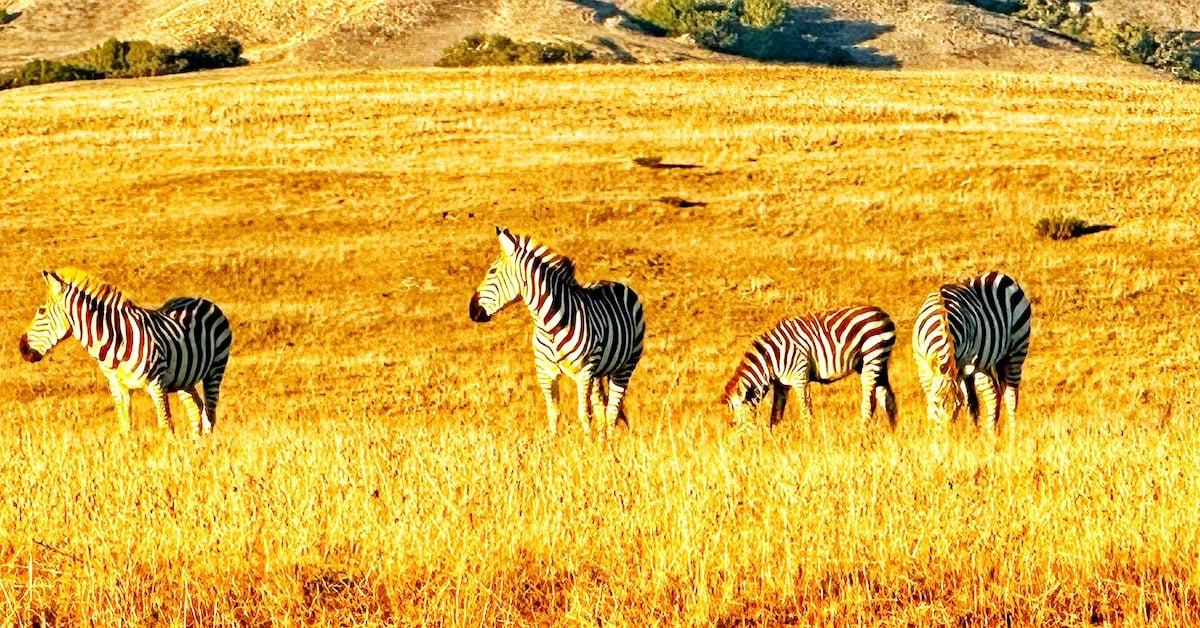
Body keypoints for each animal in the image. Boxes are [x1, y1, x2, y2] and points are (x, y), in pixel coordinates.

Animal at [19, 268, 233, 435]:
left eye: (41, 311)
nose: (22, 349)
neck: (116, 340)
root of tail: (202, 300)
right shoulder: (117, 385)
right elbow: (125, 426)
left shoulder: (157, 384)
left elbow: (165, 426)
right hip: (184, 379)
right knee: (196, 409)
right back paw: (196, 447)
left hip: (215, 369)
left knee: (210, 413)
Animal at [469, 227, 645, 437]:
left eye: (492, 271)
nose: (472, 311)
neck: (549, 327)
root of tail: (616, 283)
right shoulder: (545, 372)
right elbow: (554, 412)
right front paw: (553, 443)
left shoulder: (583, 372)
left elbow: (583, 413)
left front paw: (587, 443)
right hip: (599, 371)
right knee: (600, 405)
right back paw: (602, 439)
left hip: (626, 365)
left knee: (612, 408)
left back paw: (609, 442)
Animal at [722, 305, 898, 429]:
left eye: (735, 421)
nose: (741, 444)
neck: (770, 359)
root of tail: (883, 313)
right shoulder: (781, 385)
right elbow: (776, 415)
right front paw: (776, 440)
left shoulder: (800, 377)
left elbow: (806, 412)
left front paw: (808, 438)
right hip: (877, 363)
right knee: (887, 398)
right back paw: (892, 434)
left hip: (872, 357)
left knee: (870, 402)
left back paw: (863, 433)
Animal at [912, 271, 1032, 433]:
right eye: (938, 403)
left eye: (957, 405)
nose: (946, 435)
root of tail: (1001, 275)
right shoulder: (922, 366)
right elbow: (933, 400)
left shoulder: (963, 365)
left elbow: (970, 402)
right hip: (986, 361)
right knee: (993, 395)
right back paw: (991, 434)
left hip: (1017, 349)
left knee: (1010, 395)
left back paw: (1012, 436)